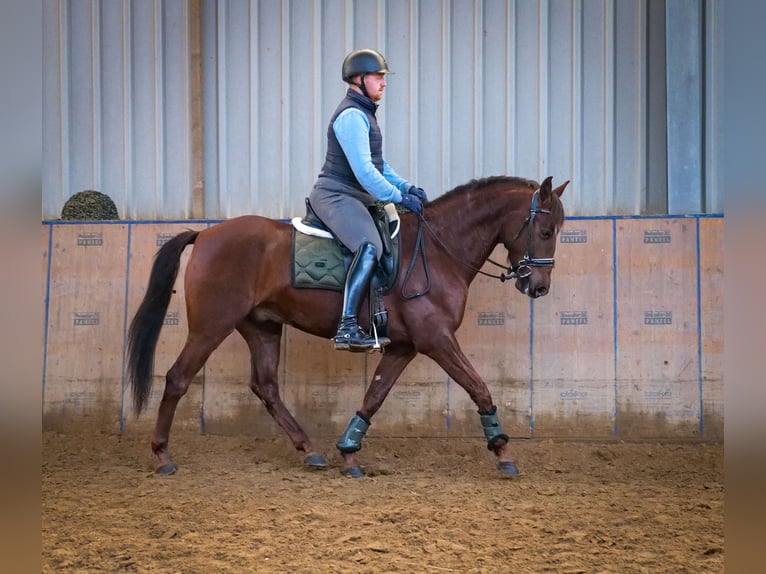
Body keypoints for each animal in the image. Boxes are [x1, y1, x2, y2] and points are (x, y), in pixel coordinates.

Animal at [127, 174, 568, 476]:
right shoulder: (437, 340)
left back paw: (310, 449)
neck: (438, 249)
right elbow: (478, 387)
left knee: (266, 386)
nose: (539, 286)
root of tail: (205, 234)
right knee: (178, 378)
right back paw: (163, 455)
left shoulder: (404, 347)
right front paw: (503, 450)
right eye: (545, 230)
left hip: (261, 326)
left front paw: (348, 451)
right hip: (211, 326)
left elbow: (375, 396)